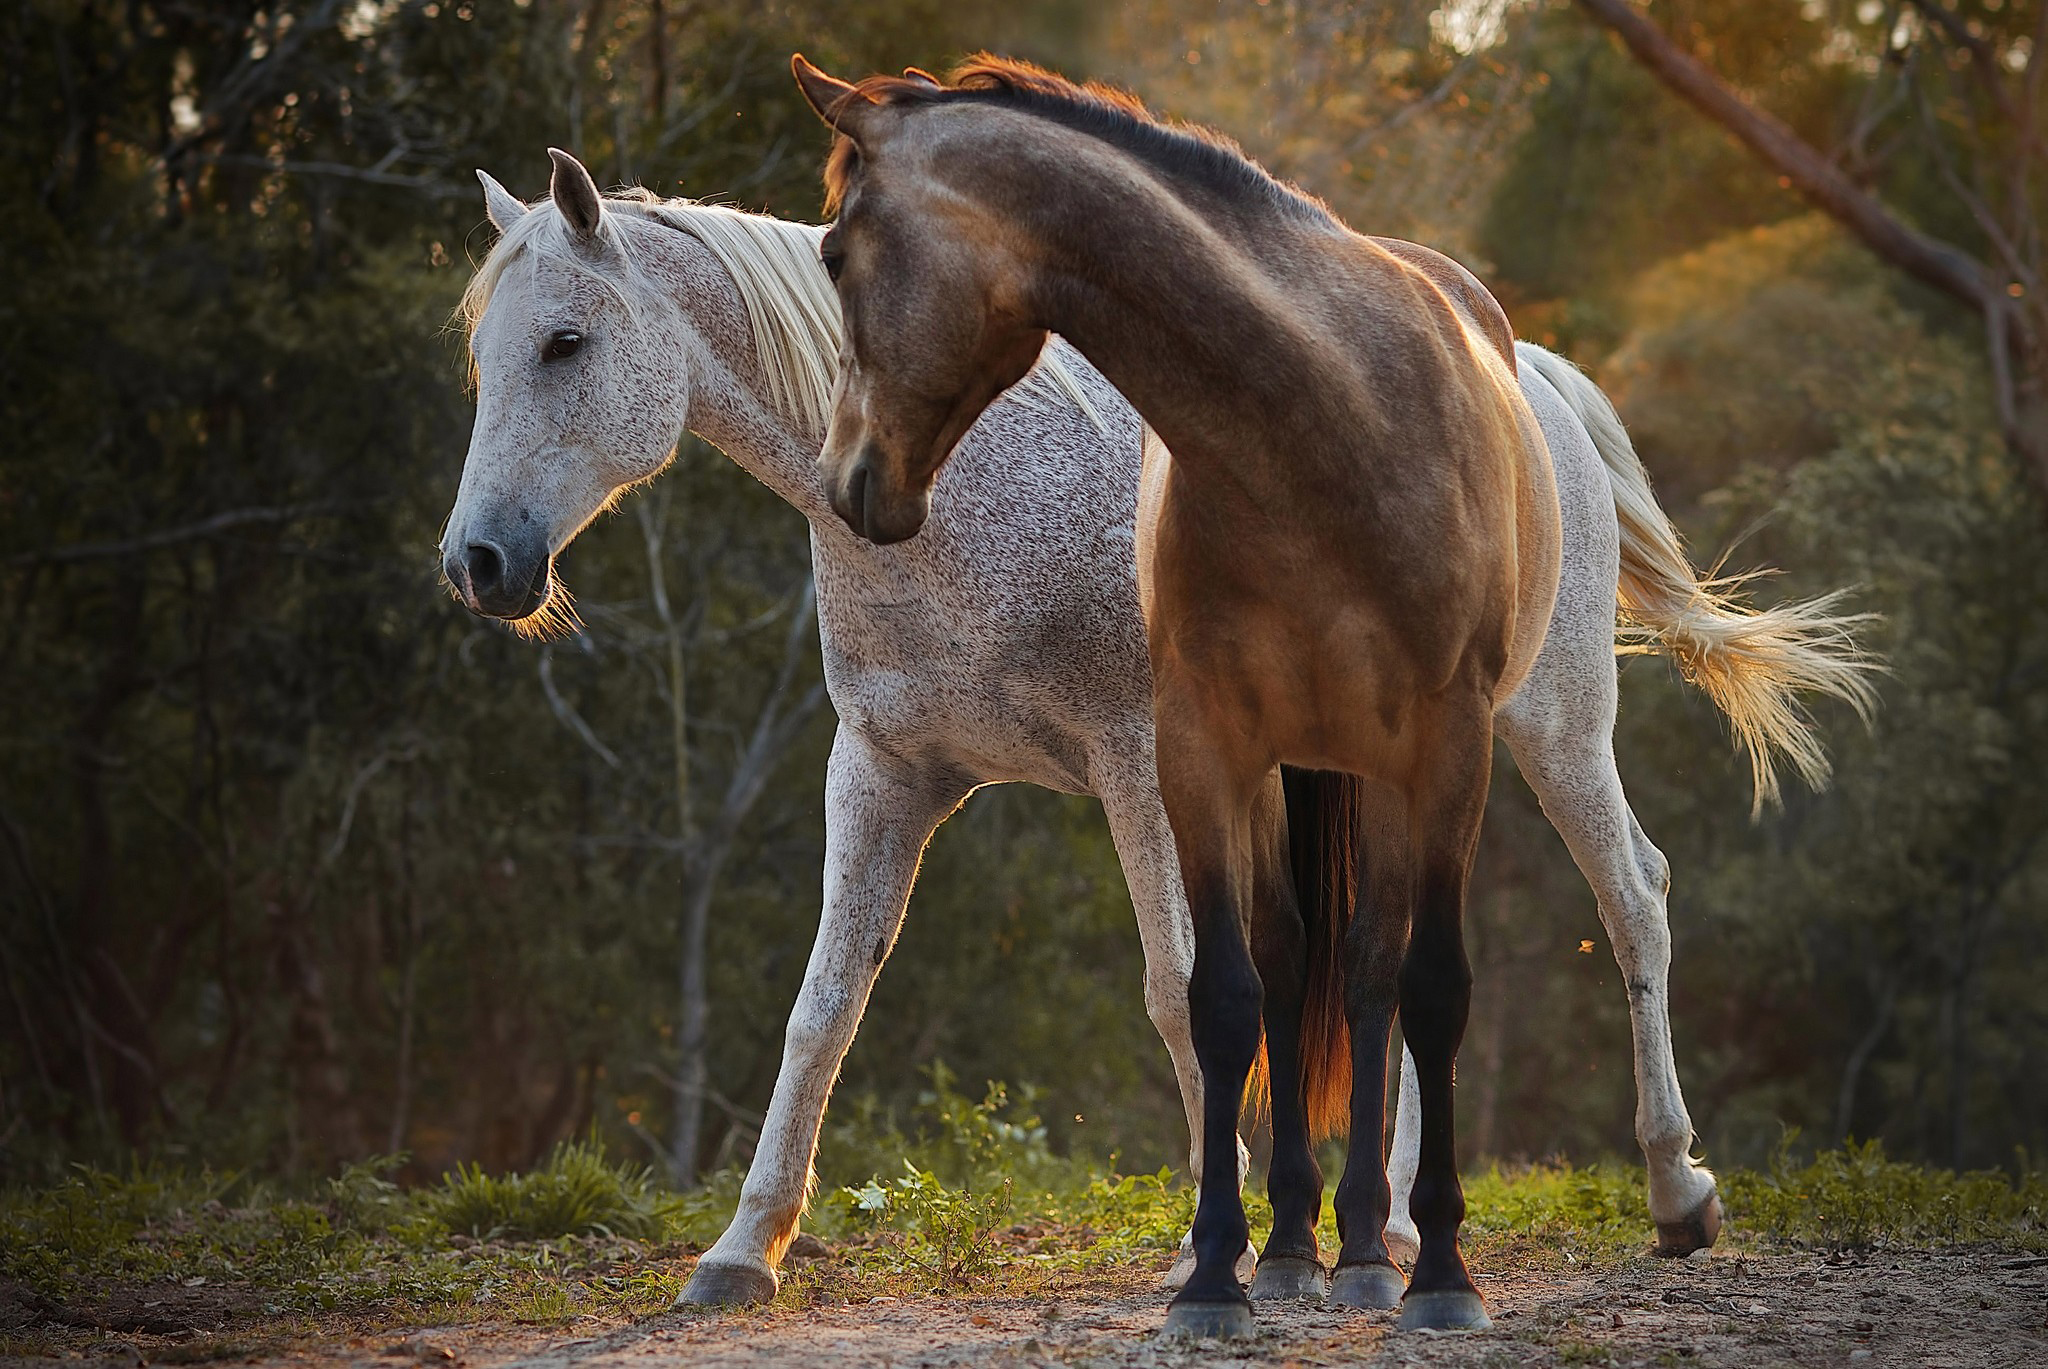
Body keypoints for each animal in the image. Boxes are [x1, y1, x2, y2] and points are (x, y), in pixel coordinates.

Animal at [444, 149, 1875, 1303]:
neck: (958, 490)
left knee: (1630, 894)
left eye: (564, 343)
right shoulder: (885, 774)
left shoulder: (1142, 768)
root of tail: (1534, 385)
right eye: (483, 354)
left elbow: (1179, 995)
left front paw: (1215, 1246)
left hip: (1552, 726)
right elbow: (823, 1010)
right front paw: (743, 1249)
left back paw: (1674, 1192)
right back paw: (1402, 1230)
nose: (479, 563)